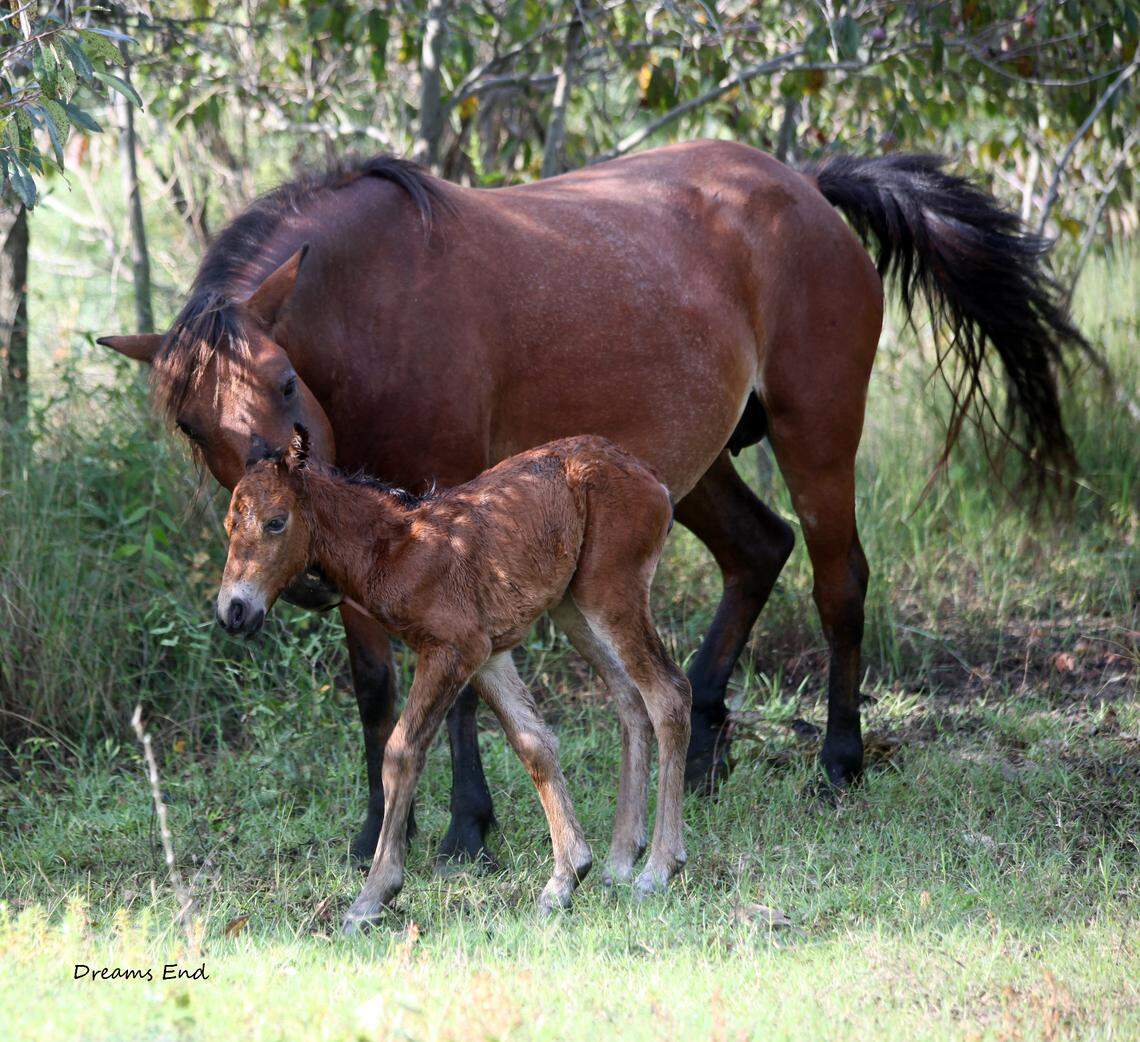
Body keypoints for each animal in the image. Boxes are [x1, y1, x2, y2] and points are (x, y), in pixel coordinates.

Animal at [98, 140, 1085, 867]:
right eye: (189, 422)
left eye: (283, 380)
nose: (276, 565)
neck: (376, 307)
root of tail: (805, 186)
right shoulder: (350, 536)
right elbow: (376, 689)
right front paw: (378, 829)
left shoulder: (441, 519)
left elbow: (461, 691)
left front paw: (465, 829)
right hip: (685, 466)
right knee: (757, 550)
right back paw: (703, 744)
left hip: (818, 434)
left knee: (838, 582)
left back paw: (837, 766)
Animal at [219, 425, 690, 929]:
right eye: (229, 526)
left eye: (276, 522)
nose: (234, 611)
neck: (396, 550)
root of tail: (650, 478)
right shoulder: (488, 655)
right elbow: (534, 745)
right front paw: (565, 879)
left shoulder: (452, 651)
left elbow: (401, 753)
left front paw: (372, 899)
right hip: (574, 608)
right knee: (630, 700)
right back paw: (619, 863)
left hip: (611, 594)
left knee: (668, 694)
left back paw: (659, 869)